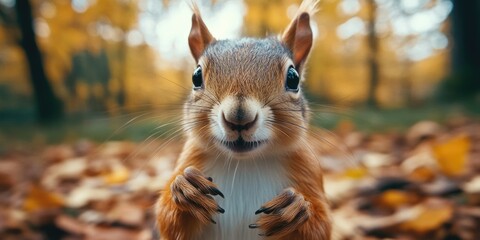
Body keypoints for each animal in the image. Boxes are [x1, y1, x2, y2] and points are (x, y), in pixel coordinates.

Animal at [156, 0, 332, 239]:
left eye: (293, 78)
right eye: (196, 76)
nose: (238, 117)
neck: (244, 164)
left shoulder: (308, 170)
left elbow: (322, 225)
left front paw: (296, 207)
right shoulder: (189, 158)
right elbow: (167, 220)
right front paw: (185, 188)